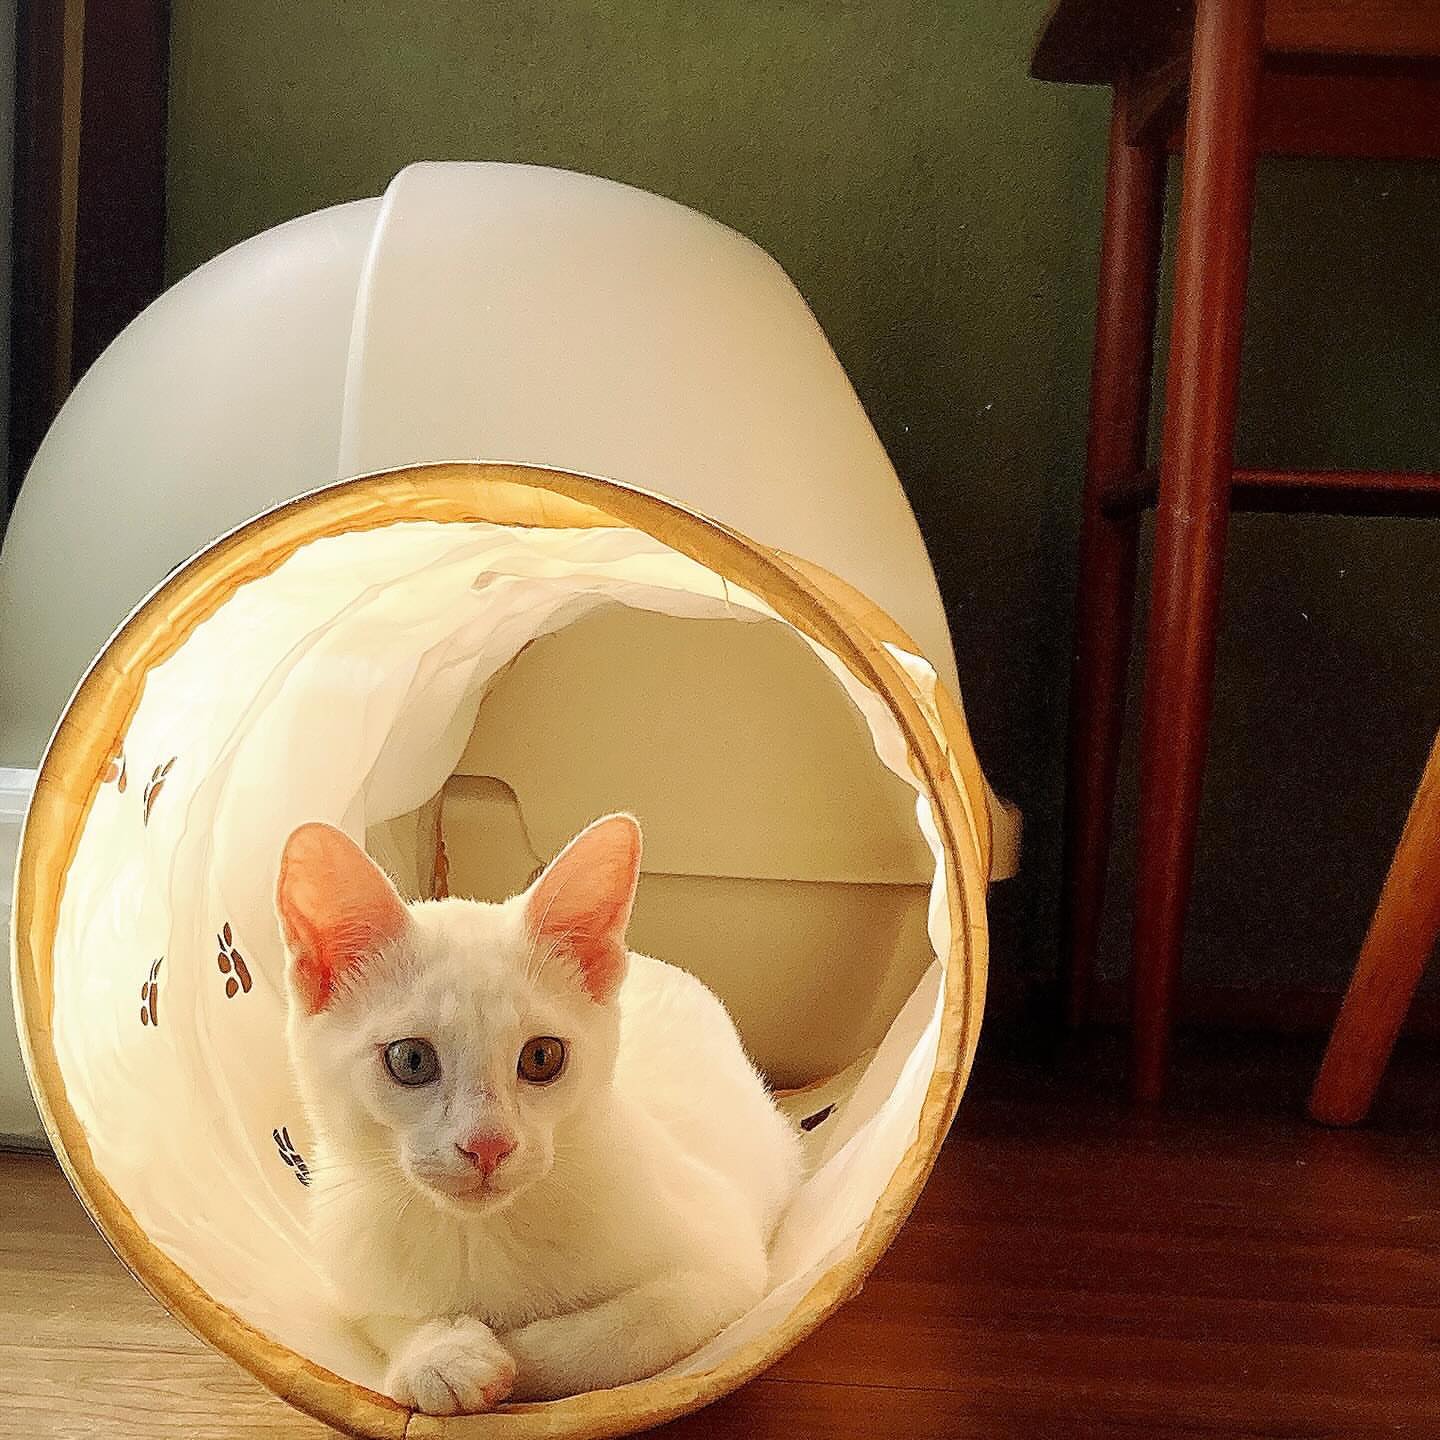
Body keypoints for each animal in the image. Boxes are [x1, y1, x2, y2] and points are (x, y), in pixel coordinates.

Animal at [277, 812, 803, 1413]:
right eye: (410, 1060)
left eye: (542, 1057)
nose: (488, 1145)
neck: (478, 1234)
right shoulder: (349, 1262)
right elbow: (383, 1315)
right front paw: (440, 1356)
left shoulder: (723, 1261)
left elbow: (629, 1330)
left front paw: (515, 1352)